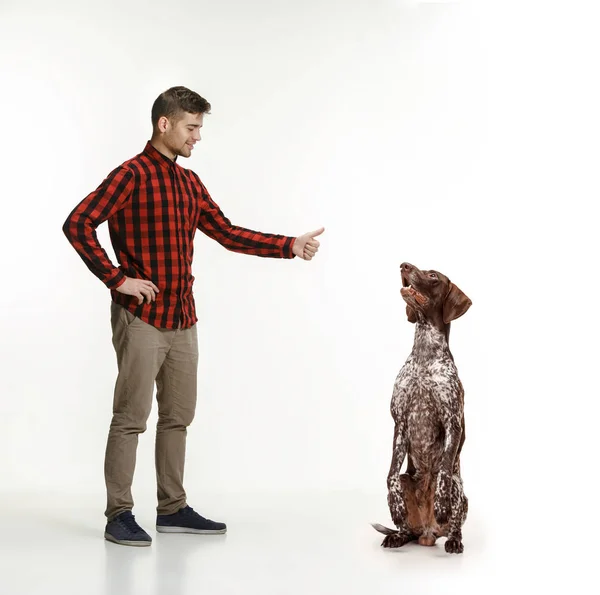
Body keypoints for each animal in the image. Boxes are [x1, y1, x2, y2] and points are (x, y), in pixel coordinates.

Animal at [370, 264, 474, 556]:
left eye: (433, 276)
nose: (404, 265)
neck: (426, 354)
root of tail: (428, 533)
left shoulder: (452, 423)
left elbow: (444, 470)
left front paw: (440, 504)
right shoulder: (400, 423)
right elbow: (391, 474)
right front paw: (396, 506)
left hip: (460, 492)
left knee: (454, 523)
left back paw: (453, 539)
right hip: (409, 485)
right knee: (407, 529)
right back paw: (398, 536)